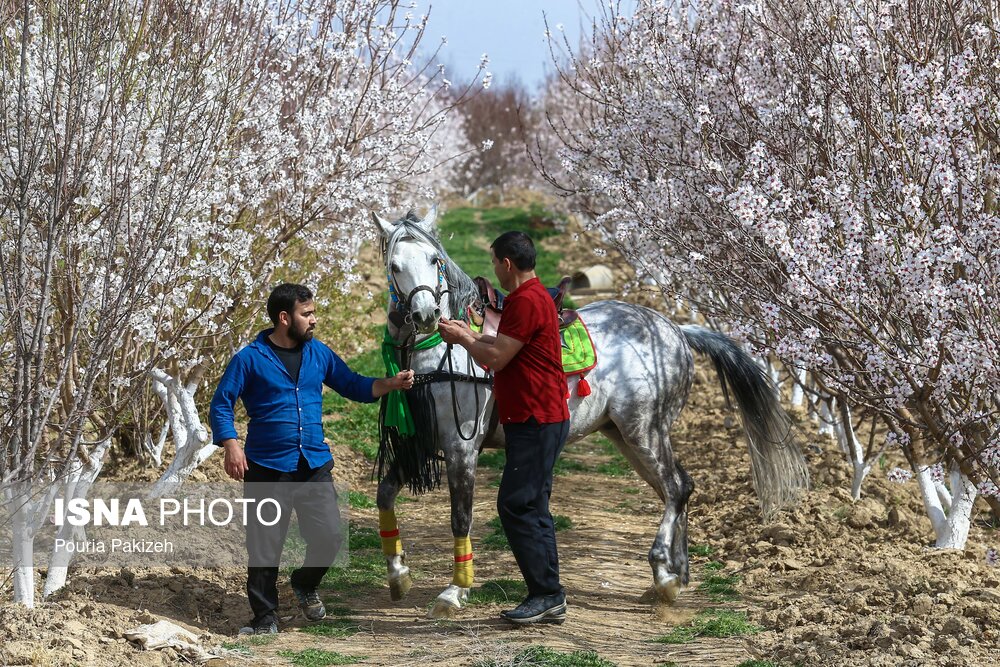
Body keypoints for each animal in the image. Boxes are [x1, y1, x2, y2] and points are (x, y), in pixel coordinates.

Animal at [372, 209, 808, 620]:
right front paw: (398, 573)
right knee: (675, 489)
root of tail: (677, 331)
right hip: (625, 435)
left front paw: (453, 592)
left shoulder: (461, 448)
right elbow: (385, 495)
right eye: (395, 265)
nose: (427, 315)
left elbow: (460, 518)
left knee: (678, 489)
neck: (440, 357)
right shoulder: (420, 441)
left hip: (643, 432)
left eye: (433, 259)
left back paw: (663, 574)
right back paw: (674, 576)